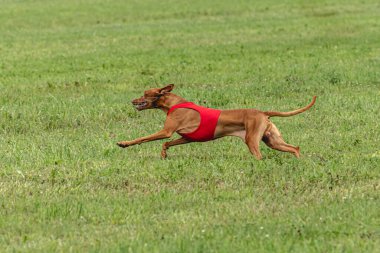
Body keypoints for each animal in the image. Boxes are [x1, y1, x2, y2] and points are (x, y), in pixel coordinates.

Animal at [117, 85, 316, 160]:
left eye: (145, 93)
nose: (133, 101)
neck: (173, 103)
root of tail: (262, 112)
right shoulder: (187, 138)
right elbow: (167, 143)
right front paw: (164, 154)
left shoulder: (166, 131)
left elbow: (142, 138)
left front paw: (123, 143)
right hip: (272, 140)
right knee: (295, 148)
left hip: (252, 140)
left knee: (260, 156)